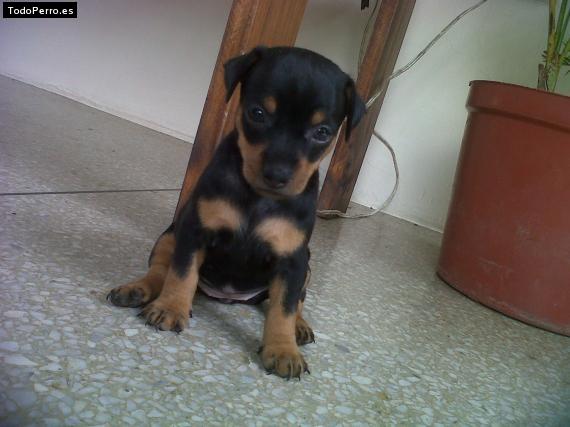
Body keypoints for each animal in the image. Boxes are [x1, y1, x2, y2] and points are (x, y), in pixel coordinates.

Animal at [107, 46, 365, 379]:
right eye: (257, 113)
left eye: (322, 132)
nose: (277, 175)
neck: (260, 198)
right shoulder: (195, 231)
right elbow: (182, 273)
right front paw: (171, 308)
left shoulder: (292, 259)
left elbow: (284, 307)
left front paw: (283, 349)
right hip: (170, 235)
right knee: (162, 270)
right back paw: (138, 290)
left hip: (307, 265)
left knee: (295, 300)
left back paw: (299, 327)